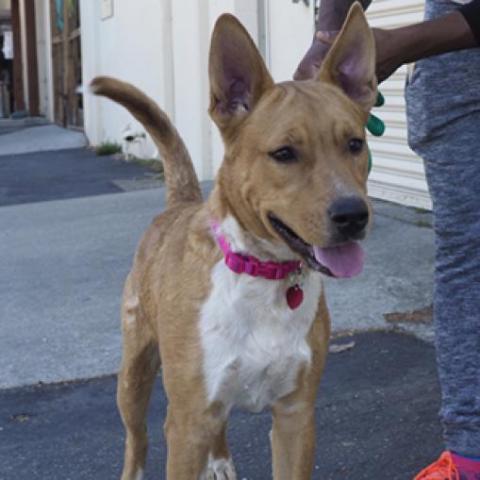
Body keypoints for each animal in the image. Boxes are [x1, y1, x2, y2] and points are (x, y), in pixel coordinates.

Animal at [90, 2, 376, 476]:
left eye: (354, 144)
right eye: (284, 153)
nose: (353, 215)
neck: (263, 273)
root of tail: (179, 202)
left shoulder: (296, 416)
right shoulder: (187, 424)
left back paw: (220, 459)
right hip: (133, 376)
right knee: (138, 437)